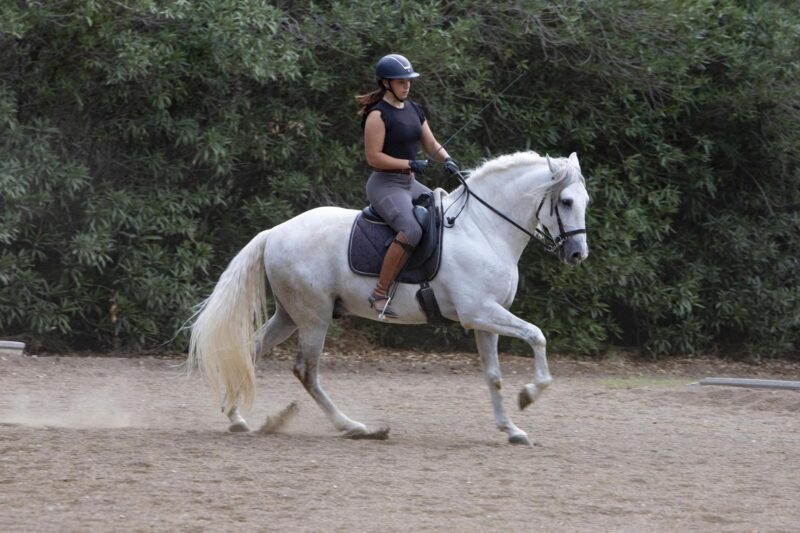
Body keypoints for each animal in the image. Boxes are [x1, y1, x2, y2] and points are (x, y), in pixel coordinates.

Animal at [187, 151, 589, 446]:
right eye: (567, 201)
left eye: (585, 200)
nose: (577, 255)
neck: (483, 229)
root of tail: (274, 232)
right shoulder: (479, 313)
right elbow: (538, 335)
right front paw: (530, 394)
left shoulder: (486, 319)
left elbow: (494, 376)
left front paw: (512, 430)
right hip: (314, 319)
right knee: (306, 372)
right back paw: (355, 427)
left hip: (289, 316)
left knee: (249, 351)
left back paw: (236, 417)